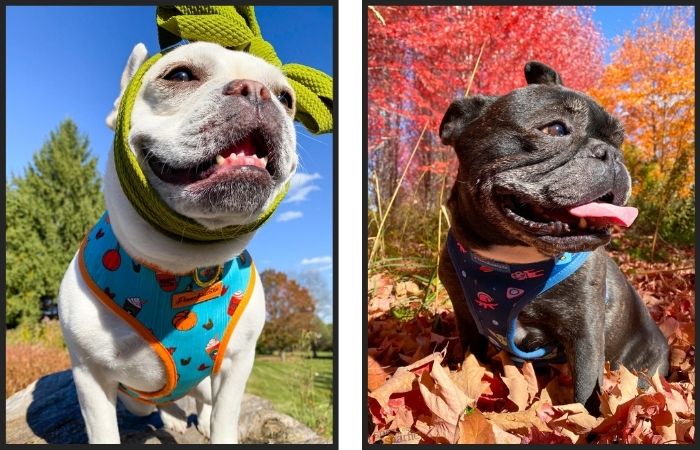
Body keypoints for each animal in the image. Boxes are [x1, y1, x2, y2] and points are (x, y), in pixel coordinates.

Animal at [59, 42, 298, 442]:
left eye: (286, 98)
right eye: (181, 75)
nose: (256, 91)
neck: (181, 263)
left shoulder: (238, 362)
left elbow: (226, 417)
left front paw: (215, 427)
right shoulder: (90, 375)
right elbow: (105, 429)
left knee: (203, 400)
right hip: (131, 394)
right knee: (151, 403)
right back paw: (170, 417)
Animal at [438, 60, 668, 412]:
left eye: (618, 141)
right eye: (556, 130)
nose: (612, 154)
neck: (512, 257)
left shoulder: (585, 335)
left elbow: (585, 392)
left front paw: (583, 419)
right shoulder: (465, 319)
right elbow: (471, 358)